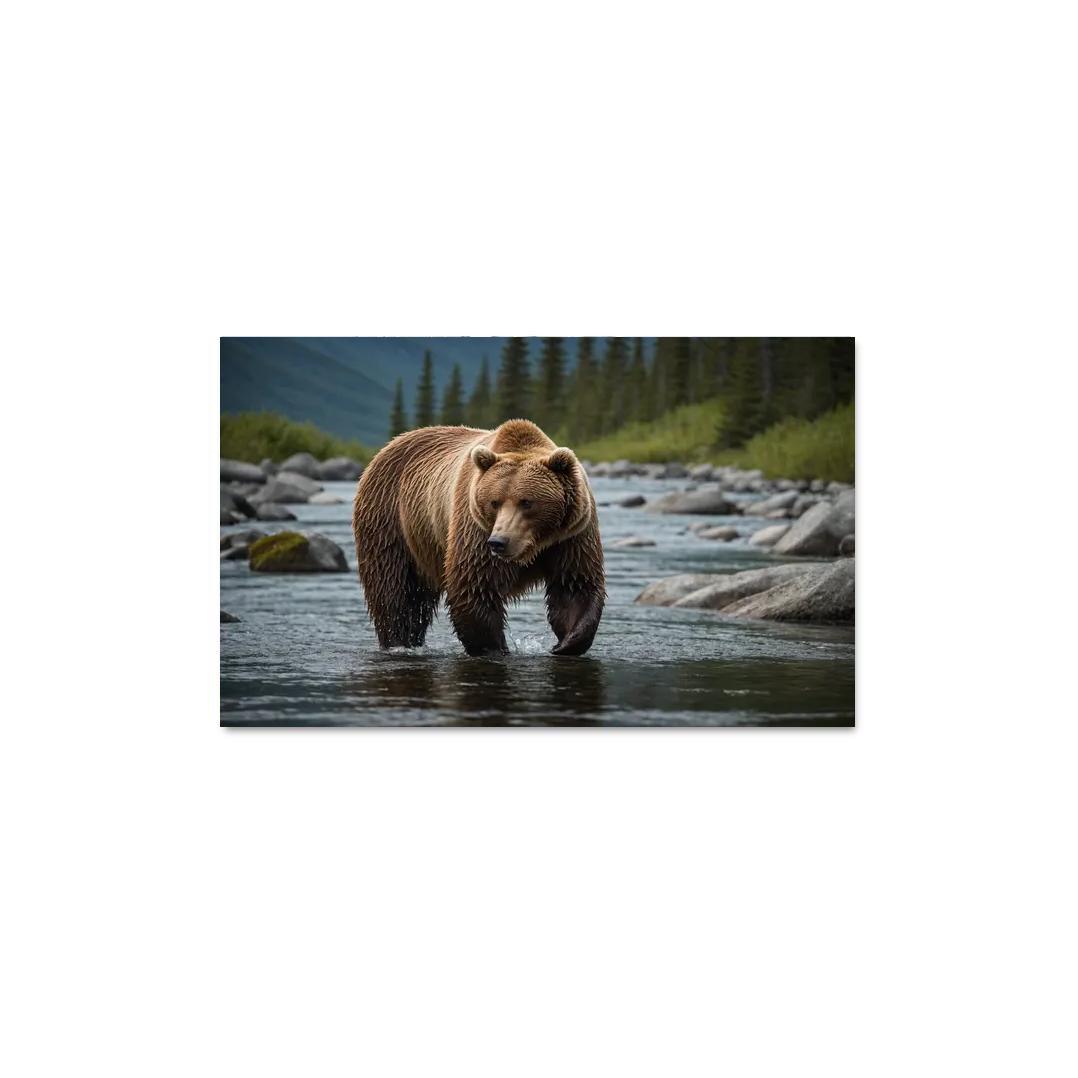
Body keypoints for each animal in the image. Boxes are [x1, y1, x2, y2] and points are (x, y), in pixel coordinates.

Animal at [352, 419, 605, 656]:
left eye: (527, 502)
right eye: (494, 502)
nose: (499, 542)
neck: (534, 545)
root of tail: (390, 445)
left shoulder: (571, 536)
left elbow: (573, 586)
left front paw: (565, 644)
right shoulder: (475, 528)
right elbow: (474, 586)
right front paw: (496, 648)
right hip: (391, 520)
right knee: (396, 591)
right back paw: (398, 641)